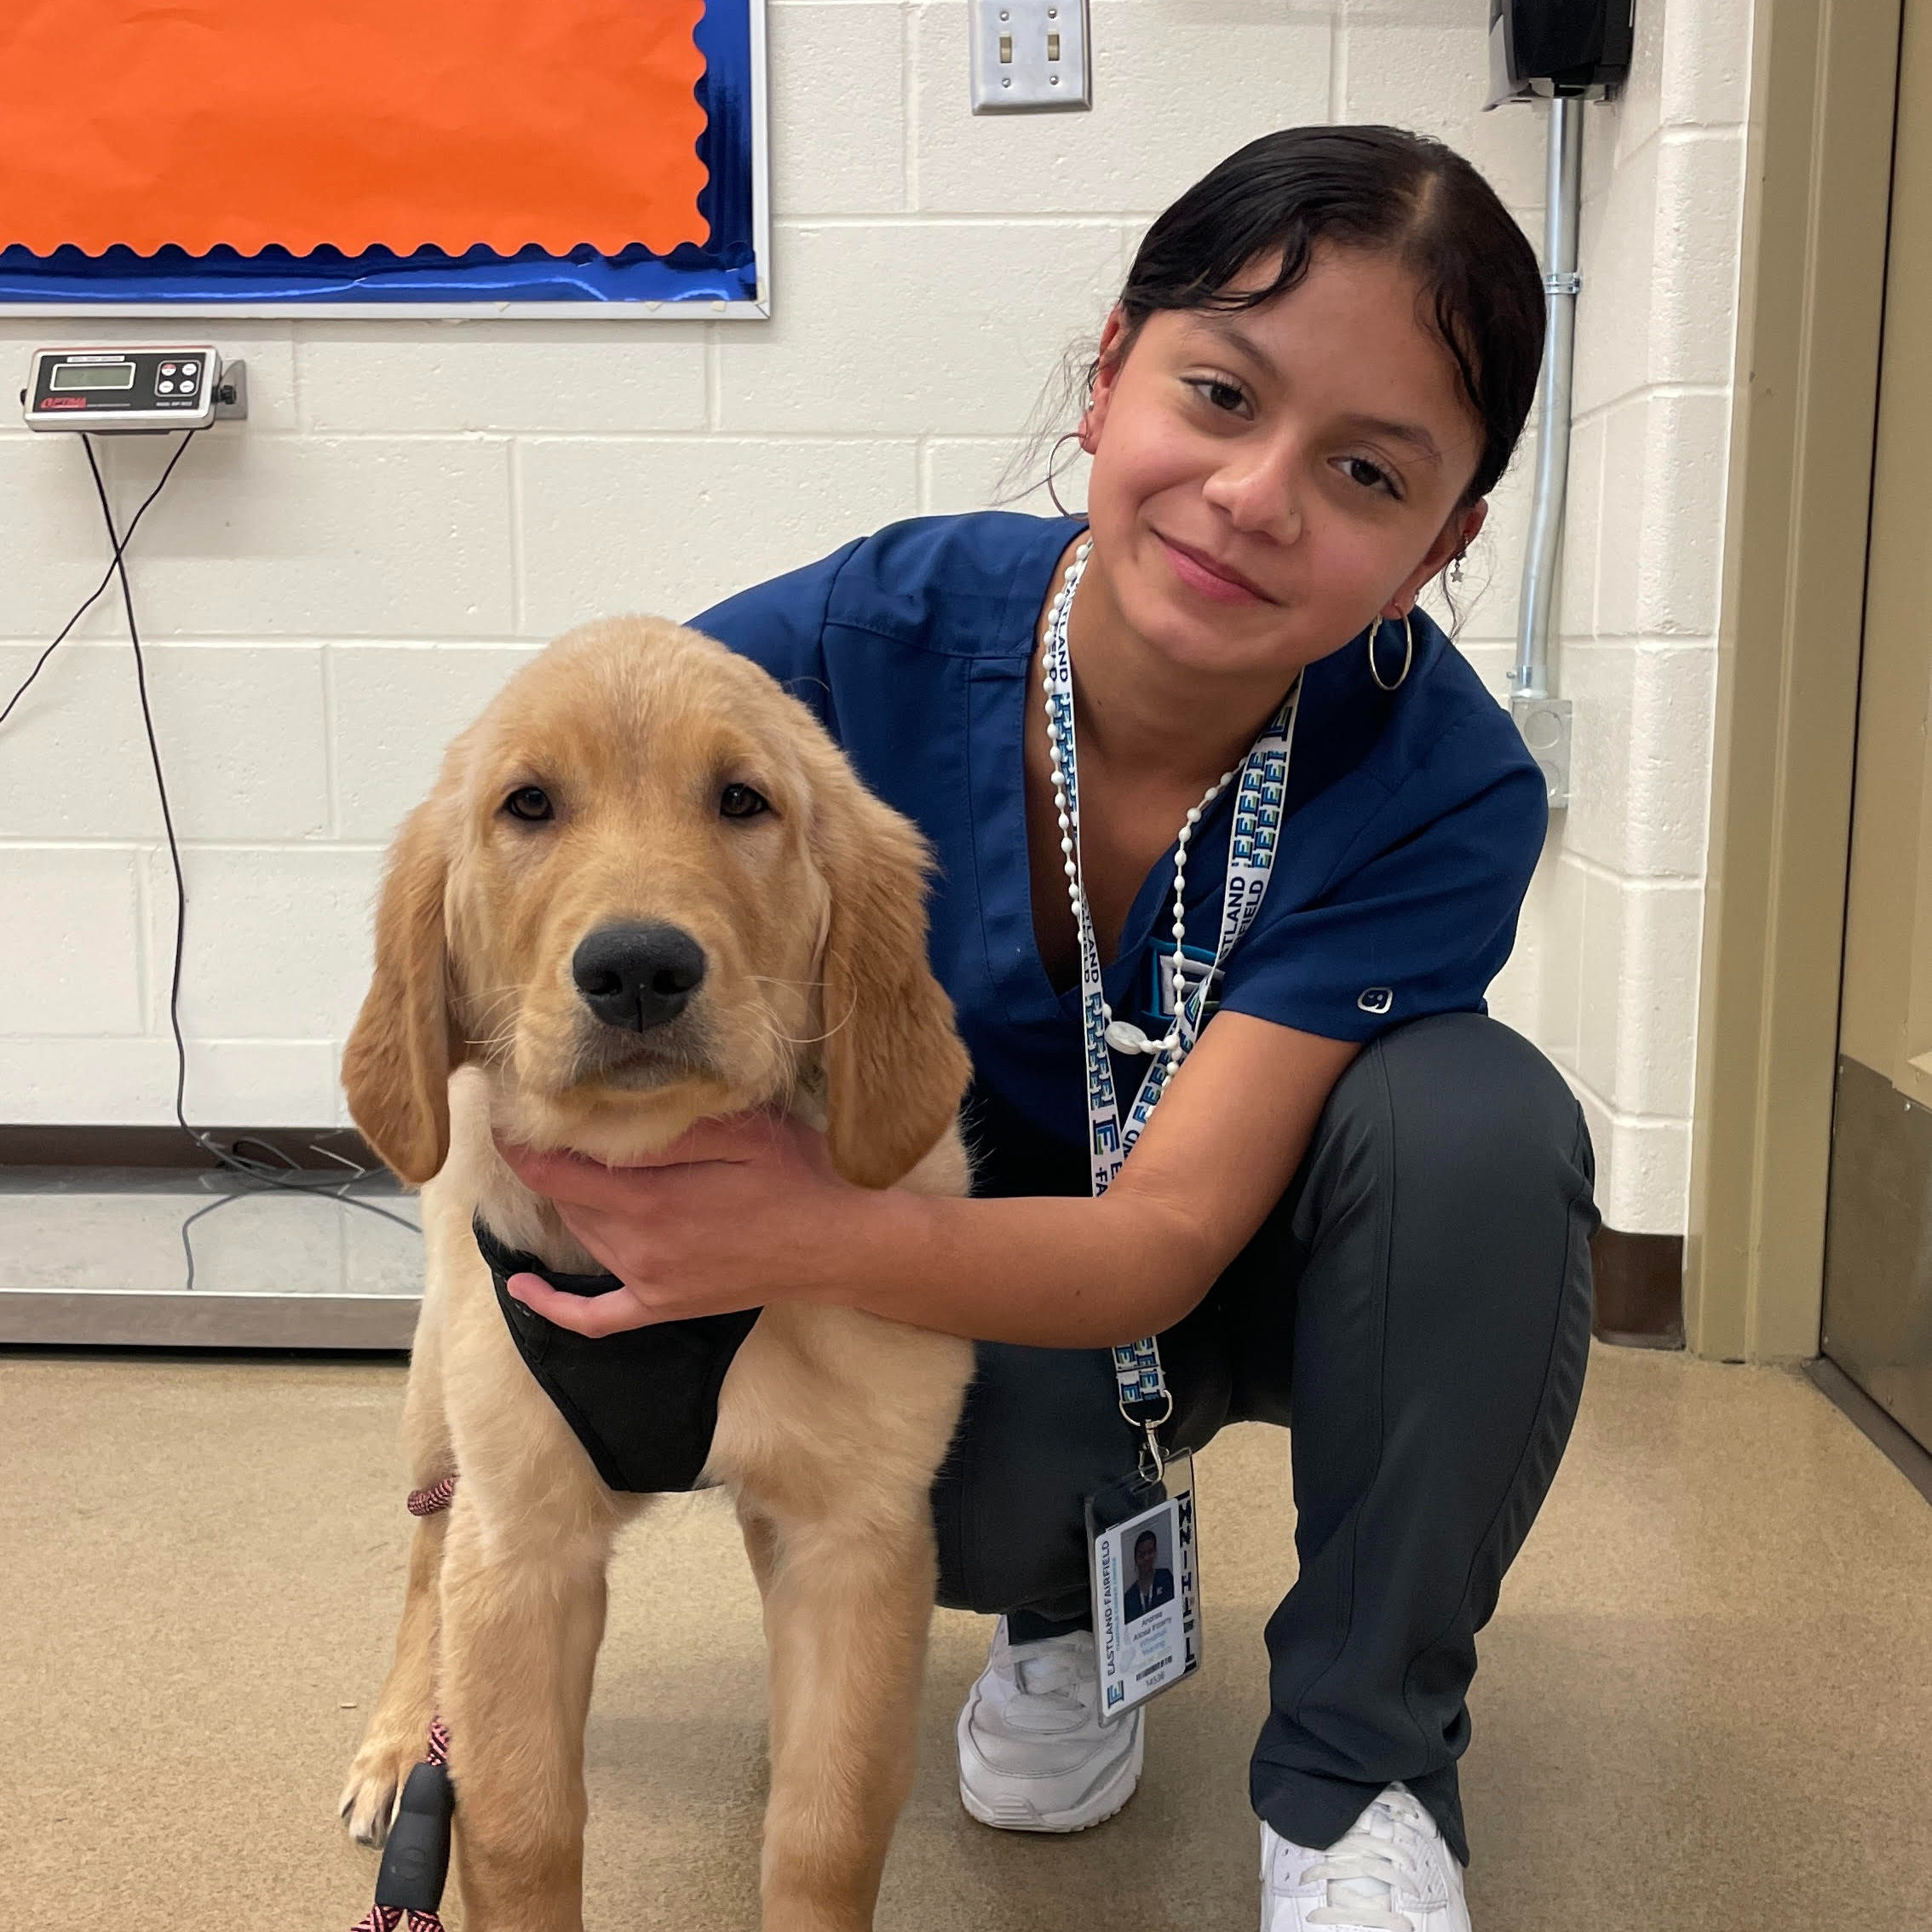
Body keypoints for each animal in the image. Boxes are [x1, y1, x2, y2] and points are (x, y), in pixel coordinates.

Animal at [336, 622, 981, 1932]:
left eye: (742, 800)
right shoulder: (523, 1549)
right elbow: (521, 1831)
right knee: (427, 1559)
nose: (638, 968)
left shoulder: (857, 1536)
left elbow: (829, 1830)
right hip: (440, 1405)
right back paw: (397, 1742)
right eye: (528, 805)